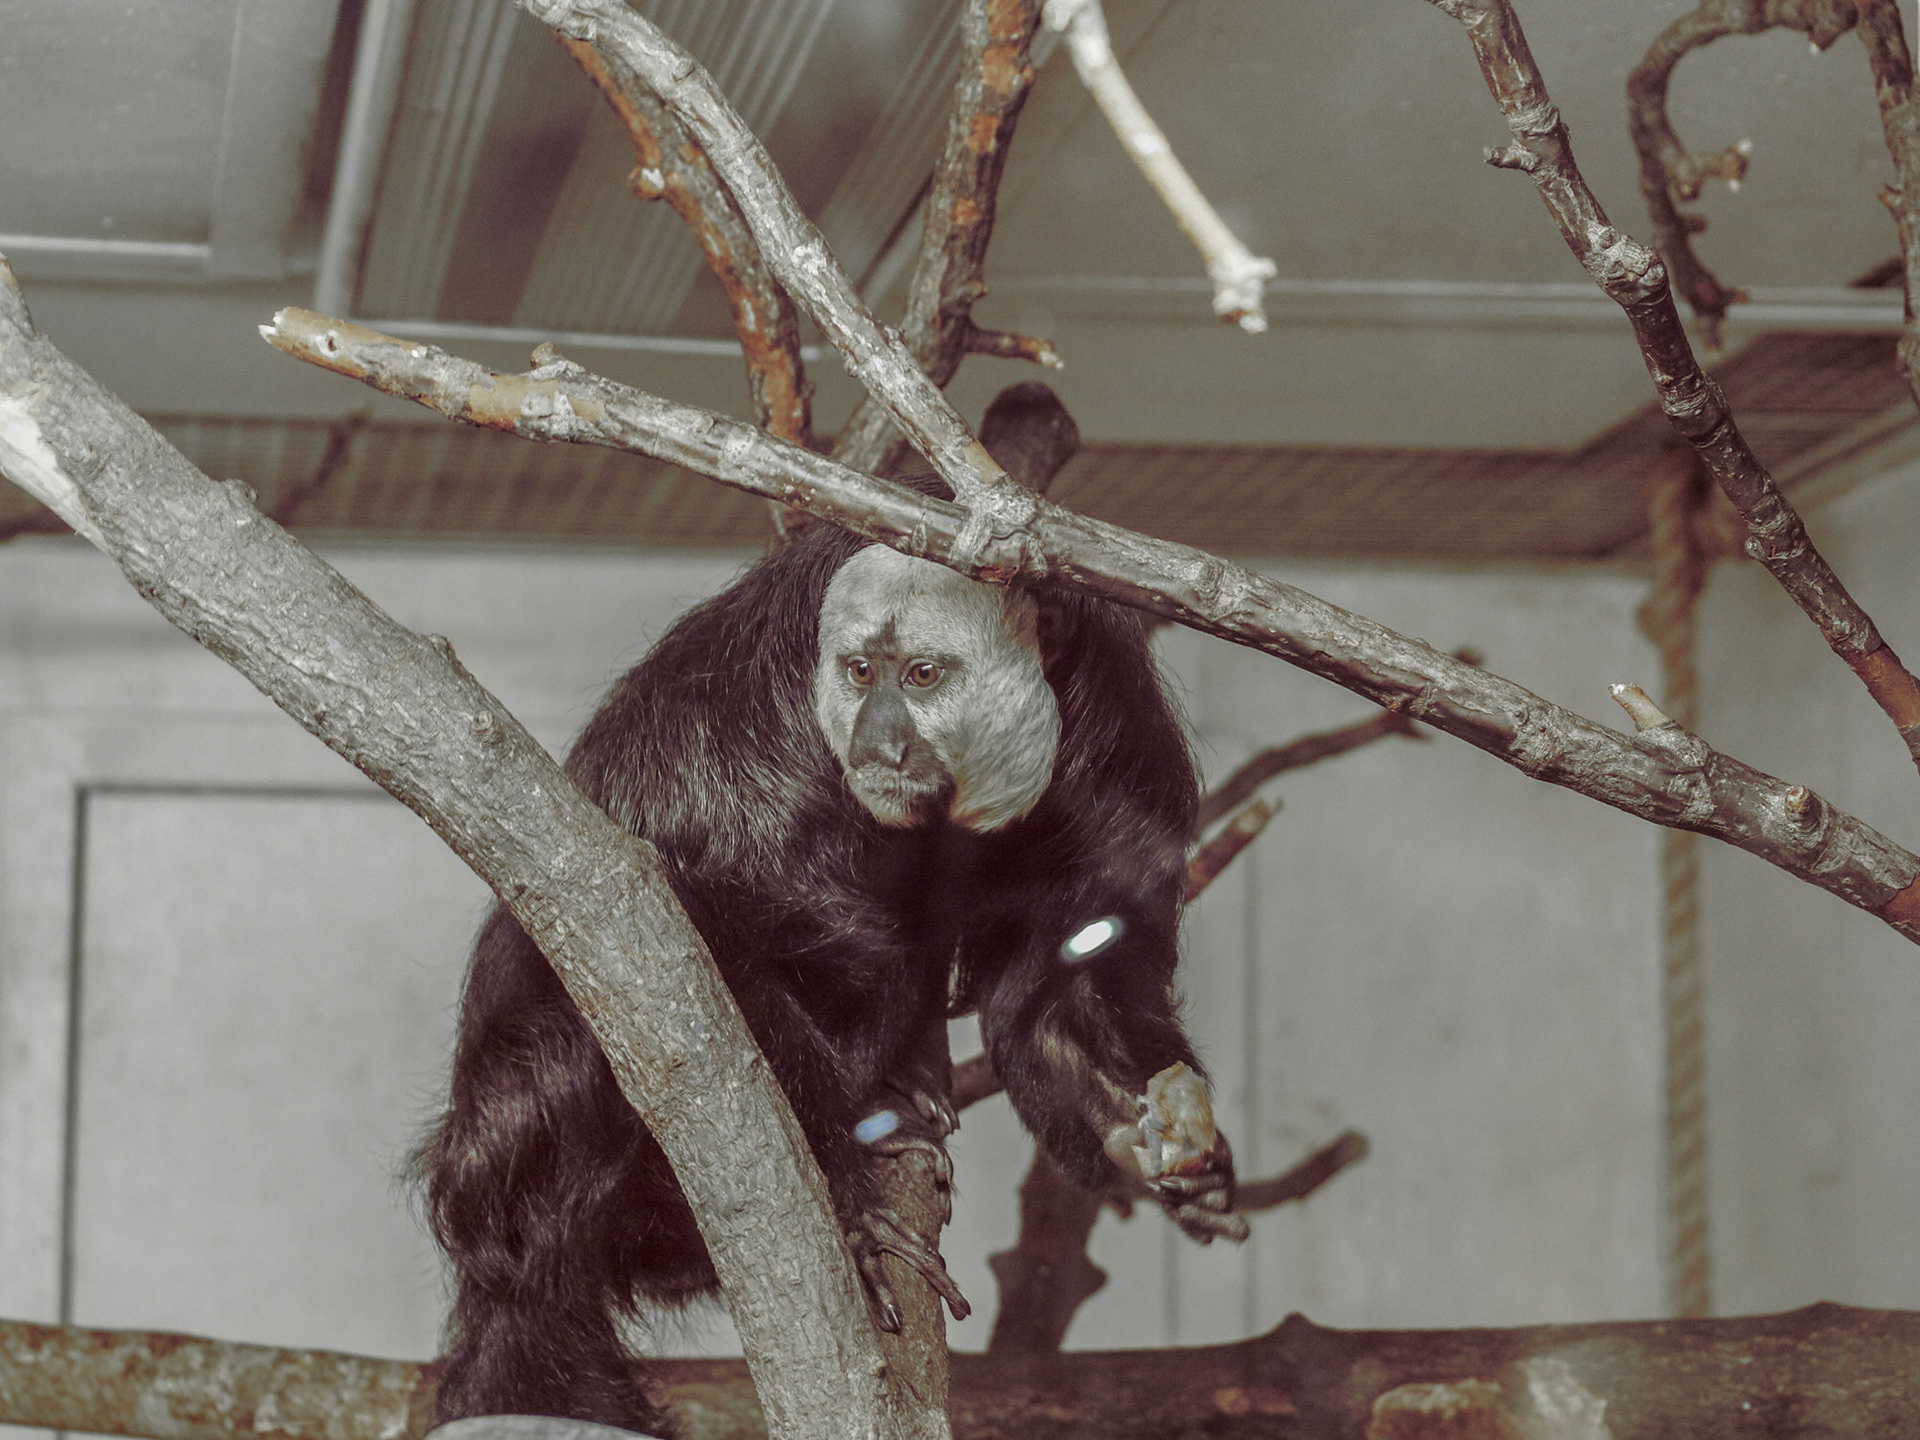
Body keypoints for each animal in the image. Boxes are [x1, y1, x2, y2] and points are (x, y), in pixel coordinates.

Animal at [418, 386, 1240, 1437]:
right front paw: (849, 1205)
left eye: (921, 676)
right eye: (857, 672)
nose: (881, 743)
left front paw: (1160, 1151)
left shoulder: (1117, 750)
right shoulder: (751, 747)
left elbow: (1057, 990)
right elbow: (689, 944)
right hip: (512, 1151)